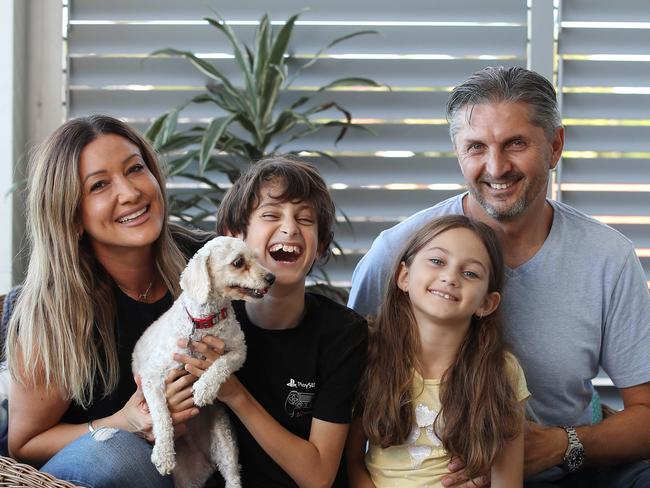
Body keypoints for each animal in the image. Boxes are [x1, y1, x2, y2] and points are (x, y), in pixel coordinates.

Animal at [132, 234, 274, 486]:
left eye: (257, 257)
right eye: (238, 262)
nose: (272, 278)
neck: (206, 321)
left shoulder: (239, 351)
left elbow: (220, 365)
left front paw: (204, 389)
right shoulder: (151, 377)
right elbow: (161, 415)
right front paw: (163, 455)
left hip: (224, 441)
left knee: (233, 476)